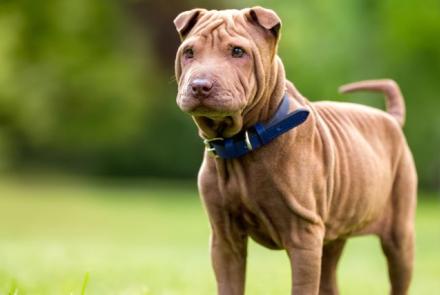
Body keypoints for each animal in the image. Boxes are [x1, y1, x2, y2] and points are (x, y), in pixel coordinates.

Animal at [174, 6, 418, 295]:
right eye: (189, 52)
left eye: (237, 51)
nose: (200, 85)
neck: (242, 142)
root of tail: (391, 119)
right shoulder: (225, 240)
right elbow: (229, 285)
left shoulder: (304, 237)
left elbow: (302, 287)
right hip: (332, 235)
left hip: (399, 235)